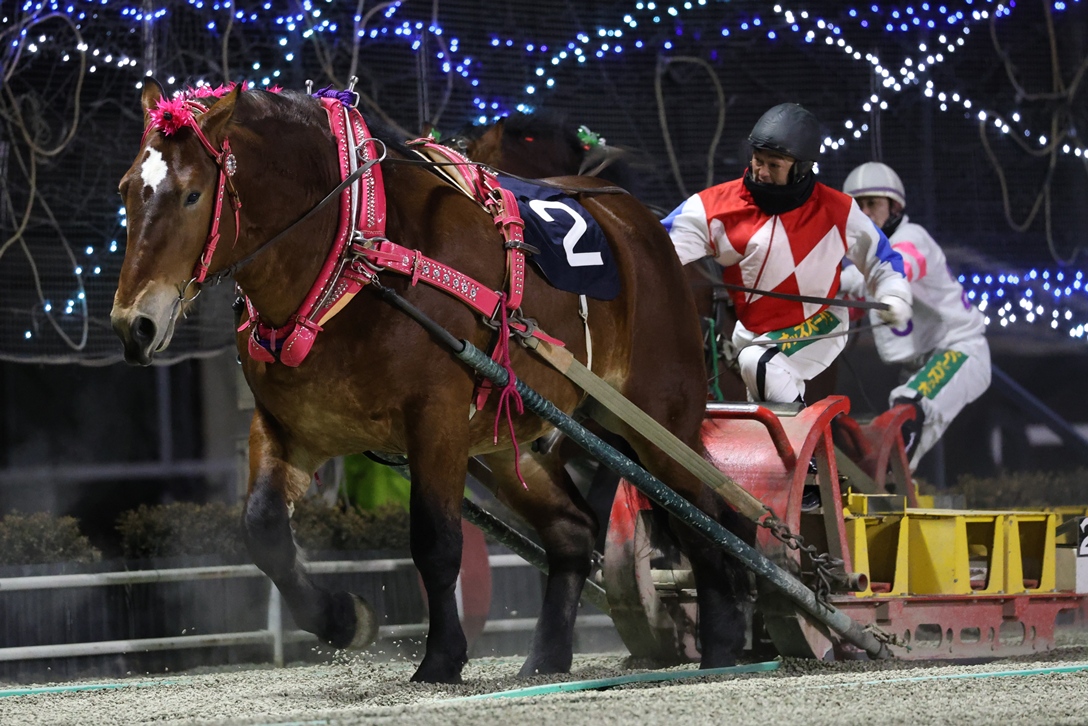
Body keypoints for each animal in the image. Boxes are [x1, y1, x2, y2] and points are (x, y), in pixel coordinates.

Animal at [114, 83, 752, 683]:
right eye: (125, 189)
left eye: (192, 193)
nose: (132, 325)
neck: (356, 251)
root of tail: (638, 223)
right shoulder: (289, 425)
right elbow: (263, 530)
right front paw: (342, 620)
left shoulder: (436, 420)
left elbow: (436, 543)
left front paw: (441, 658)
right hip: (511, 437)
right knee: (575, 531)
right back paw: (547, 656)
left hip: (659, 414)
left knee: (707, 517)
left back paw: (723, 643)